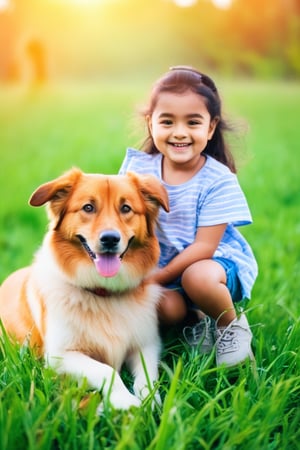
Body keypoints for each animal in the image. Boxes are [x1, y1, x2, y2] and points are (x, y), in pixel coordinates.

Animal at [0, 167, 169, 410]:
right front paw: (125, 401)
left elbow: (148, 375)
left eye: (126, 208)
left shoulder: (147, 344)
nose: (110, 239)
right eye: (88, 207)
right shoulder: (59, 356)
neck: (104, 293)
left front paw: (150, 400)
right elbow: (106, 371)